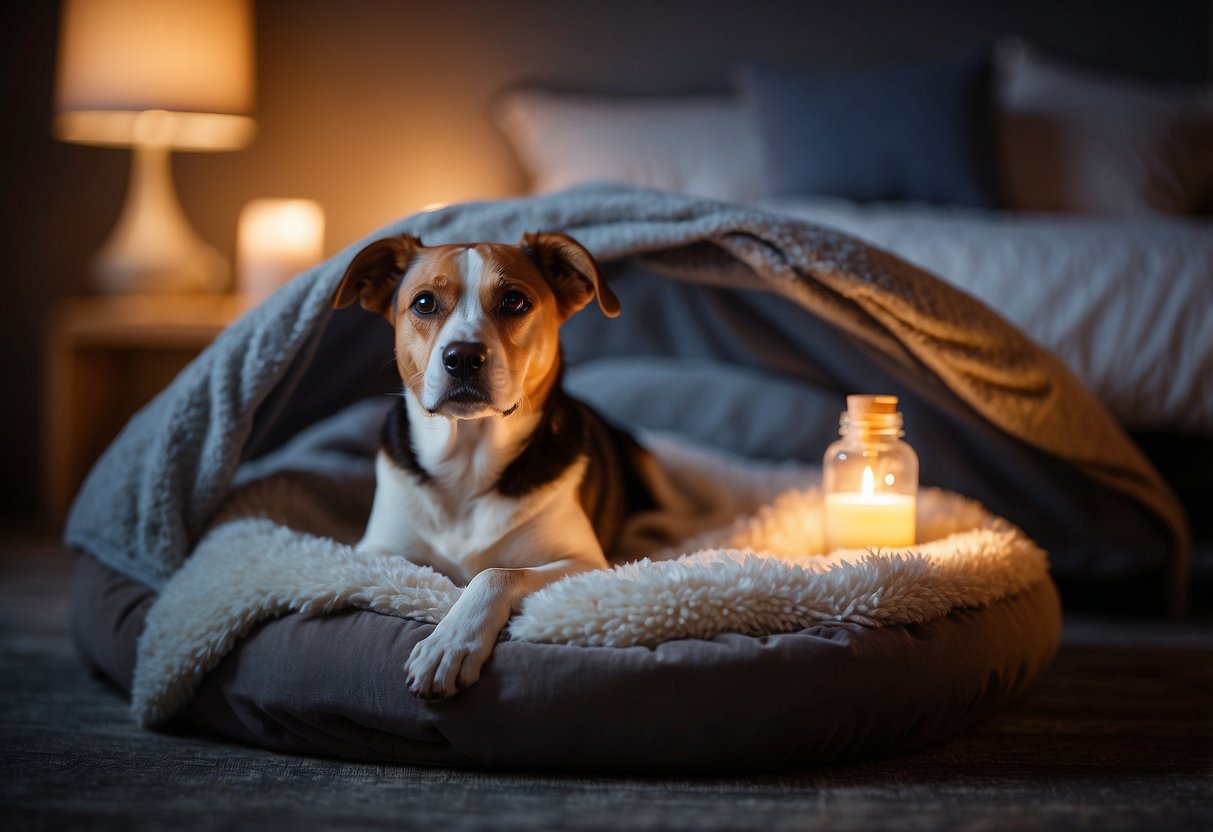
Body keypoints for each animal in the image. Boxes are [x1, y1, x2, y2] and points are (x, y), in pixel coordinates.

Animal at [329, 231, 655, 698]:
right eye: (424, 303)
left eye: (515, 301)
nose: (463, 357)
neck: (467, 463)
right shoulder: (373, 552)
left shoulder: (586, 563)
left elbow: (498, 572)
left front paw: (450, 642)